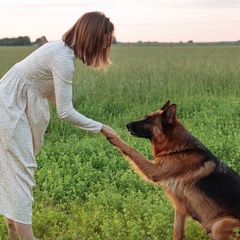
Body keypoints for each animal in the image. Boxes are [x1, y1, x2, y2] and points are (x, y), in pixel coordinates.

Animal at [105, 101, 240, 240]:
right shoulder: (180, 209)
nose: (127, 125)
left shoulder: (154, 170)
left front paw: (113, 137)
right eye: (145, 117)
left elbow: (132, 150)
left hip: (219, 225)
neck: (178, 149)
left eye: (149, 121)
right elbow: (177, 233)